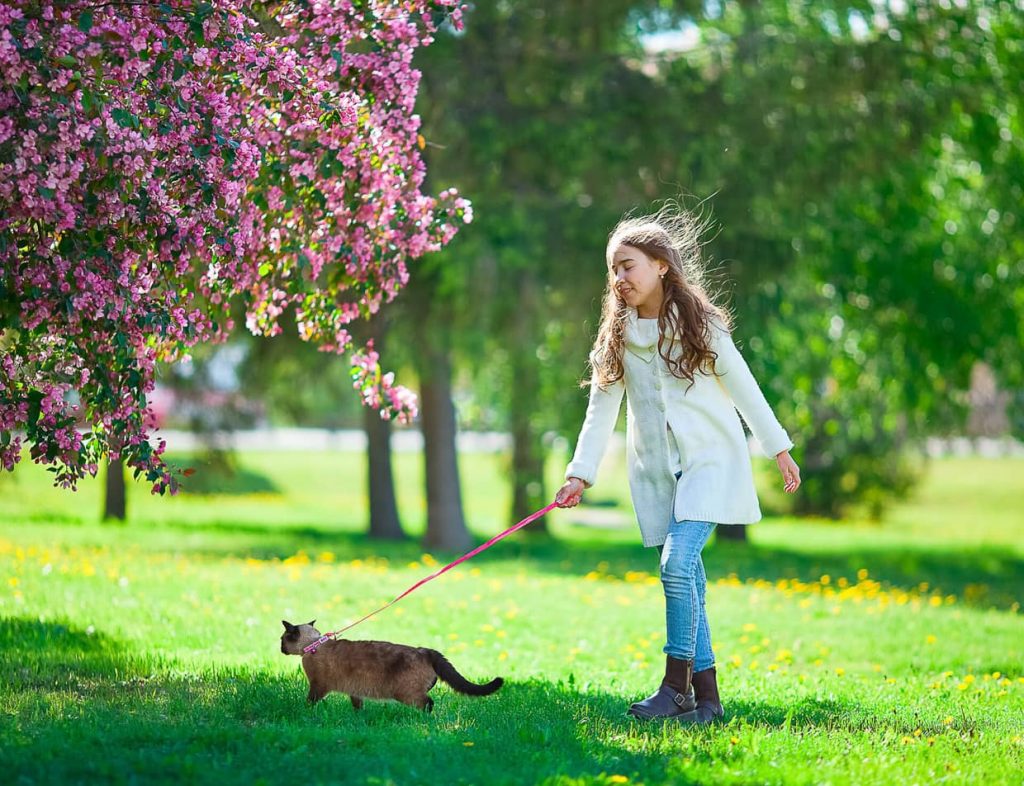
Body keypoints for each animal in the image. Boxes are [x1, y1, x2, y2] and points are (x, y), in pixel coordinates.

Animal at [280, 622, 503, 712]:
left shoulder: (318, 686)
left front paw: (305, 712)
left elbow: (309, 702)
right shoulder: (355, 691)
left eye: (282, 640)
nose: (280, 649)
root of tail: (425, 650)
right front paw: (359, 718)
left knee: (428, 703)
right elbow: (358, 706)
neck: (313, 645)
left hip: (406, 693)